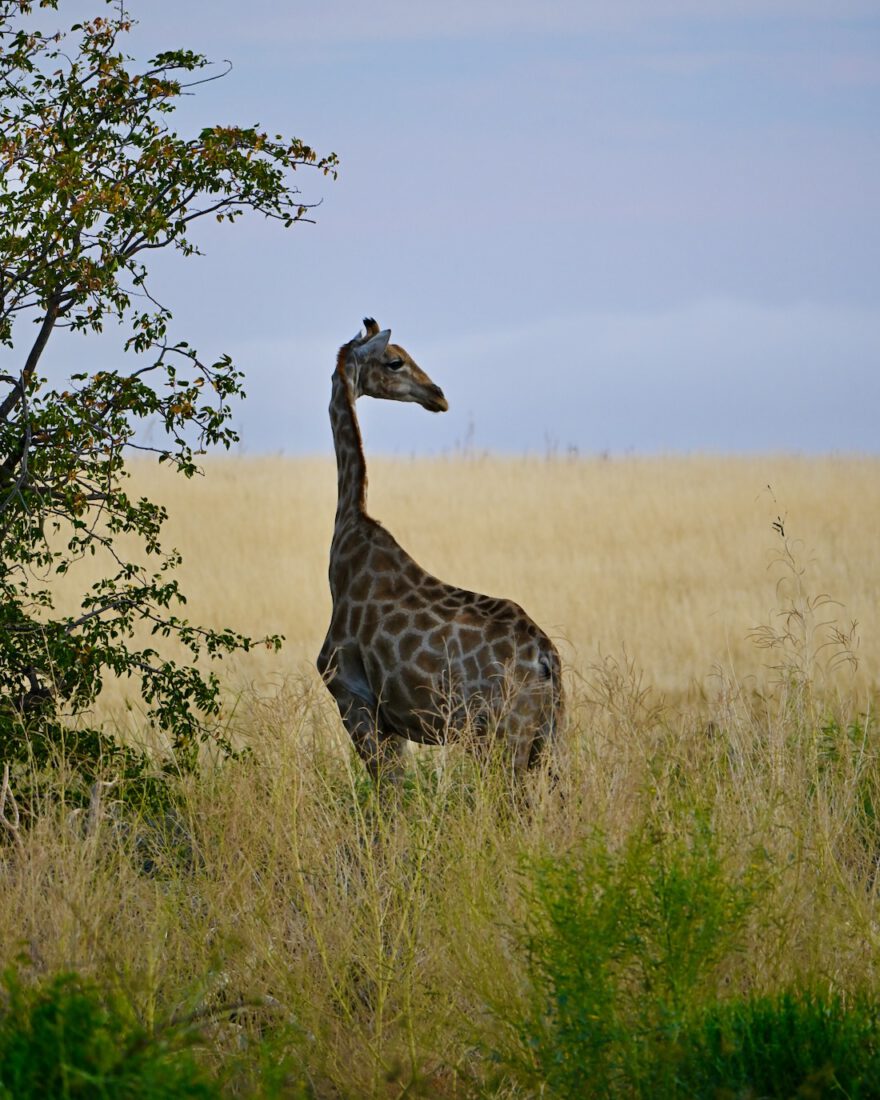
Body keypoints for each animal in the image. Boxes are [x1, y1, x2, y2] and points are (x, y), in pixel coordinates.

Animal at [317, 318, 563, 781]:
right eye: (395, 360)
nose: (437, 395)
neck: (348, 529)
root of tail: (546, 659)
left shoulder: (352, 695)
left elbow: (387, 793)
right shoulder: (390, 719)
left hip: (501, 737)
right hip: (551, 737)